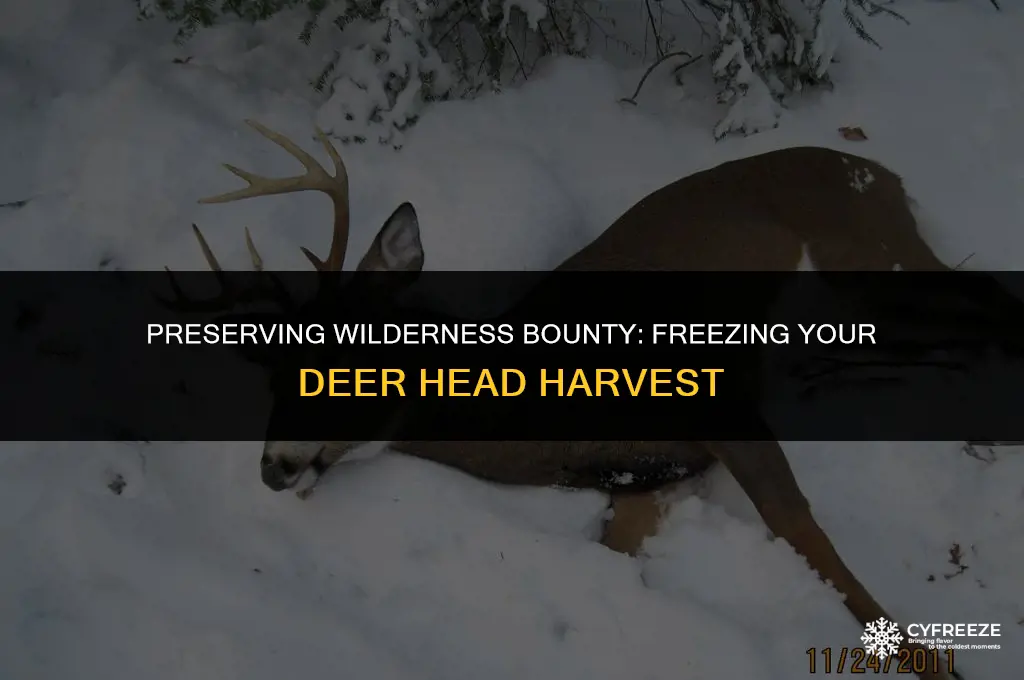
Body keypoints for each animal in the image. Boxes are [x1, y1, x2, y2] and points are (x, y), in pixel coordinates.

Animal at [166, 119, 972, 680]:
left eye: (350, 359)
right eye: (274, 377)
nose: (273, 465)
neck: (535, 420)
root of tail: (880, 169)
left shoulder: (713, 399)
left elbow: (804, 530)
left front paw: (939, 664)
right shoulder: (646, 474)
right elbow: (620, 549)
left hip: (873, 258)